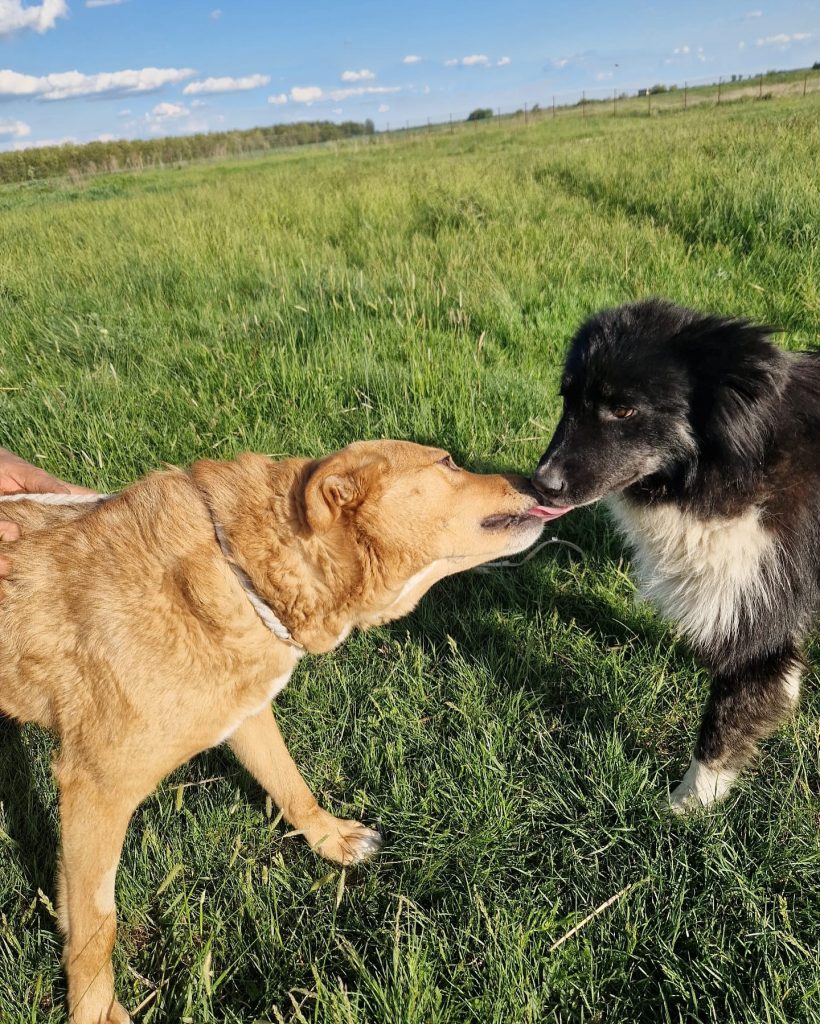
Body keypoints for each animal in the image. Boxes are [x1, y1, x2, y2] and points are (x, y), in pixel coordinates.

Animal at [0, 440, 544, 1024]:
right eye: (447, 463)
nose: (540, 484)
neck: (238, 570)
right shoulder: (93, 789)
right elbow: (96, 926)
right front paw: (95, 1009)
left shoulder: (246, 712)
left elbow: (290, 783)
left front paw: (330, 839)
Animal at [532, 299, 814, 811]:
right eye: (567, 399)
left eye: (624, 409)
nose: (541, 484)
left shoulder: (758, 600)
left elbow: (726, 717)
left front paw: (684, 808)